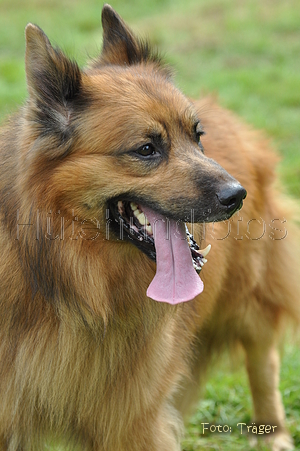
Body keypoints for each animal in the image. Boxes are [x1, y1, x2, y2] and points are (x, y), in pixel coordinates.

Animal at [0, 4, 298, 451]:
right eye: (146, 149)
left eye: (197, 136)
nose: (237, 195)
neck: (73, 282)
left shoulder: (130, 420)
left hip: (251, 297)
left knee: (264, 358)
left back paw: (274, 433)